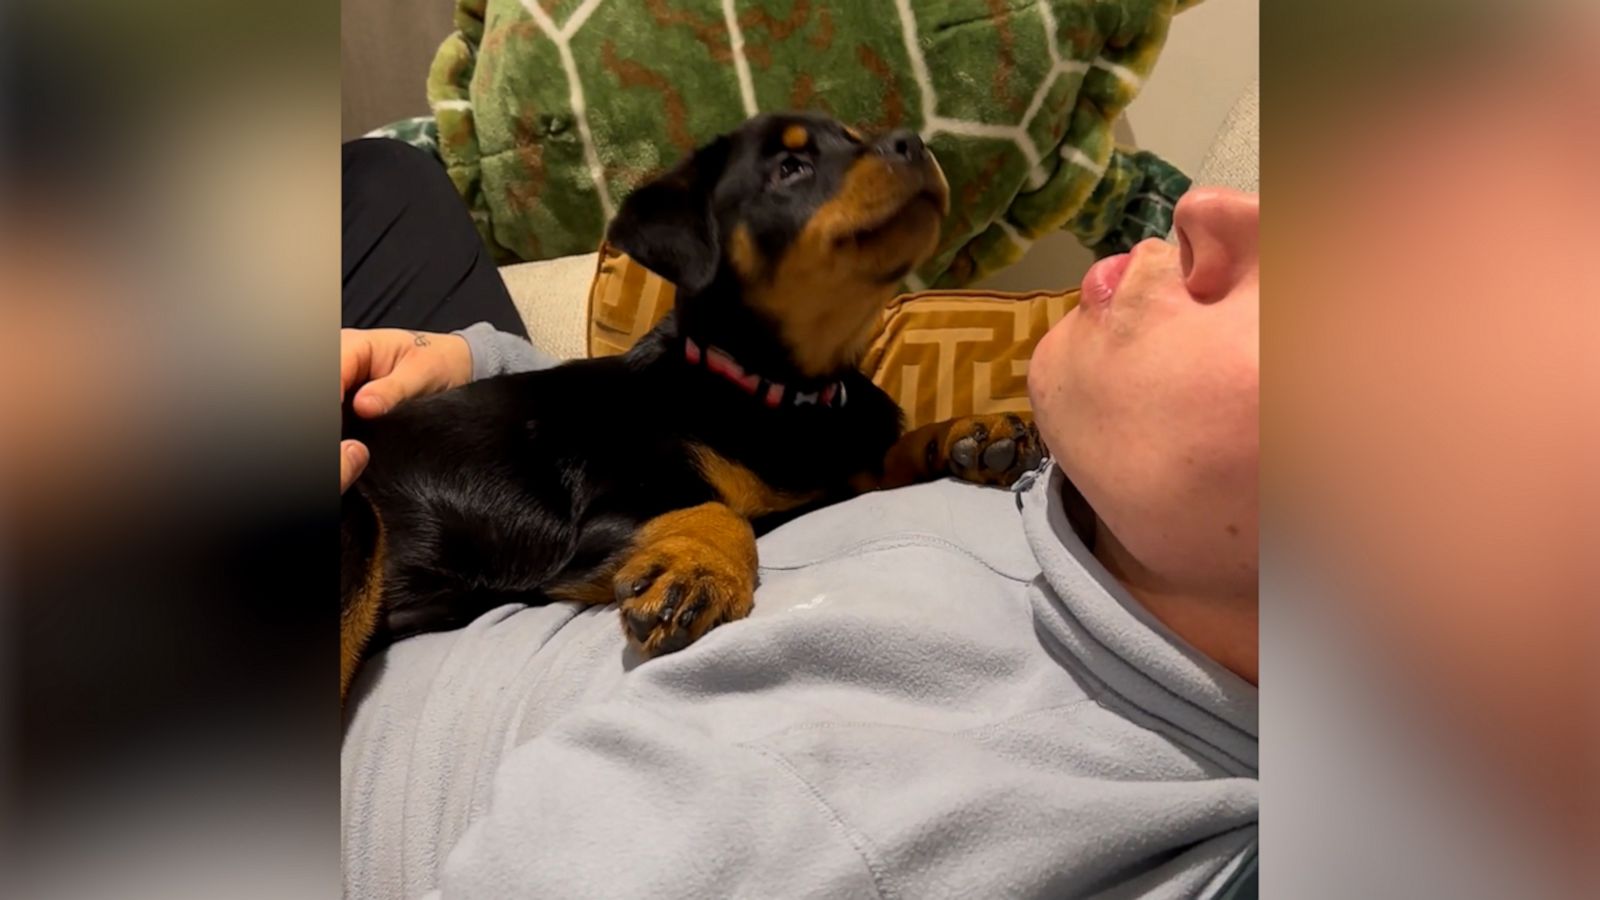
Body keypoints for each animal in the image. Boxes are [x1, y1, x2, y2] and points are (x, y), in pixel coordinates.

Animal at [342, 112, 1043, 698]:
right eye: (790, 168)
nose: (913, 143)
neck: (784, 387)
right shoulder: (604, 515)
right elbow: (715, 507)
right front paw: (697, 568)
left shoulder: (840, 461)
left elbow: (885, 454)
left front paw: (974, 432)